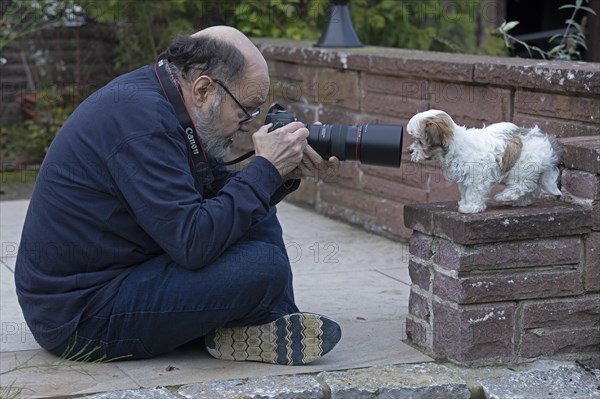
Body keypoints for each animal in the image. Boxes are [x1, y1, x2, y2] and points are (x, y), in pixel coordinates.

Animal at [406, 109, 560, 214]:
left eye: (420, 141)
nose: (410, 151)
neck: (456, 144)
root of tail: (545, 141)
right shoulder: (465, 177)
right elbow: (466, 190)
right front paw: (465, 203)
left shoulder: (477, 175)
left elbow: (474, 191)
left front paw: (471, 207)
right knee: (532, 188)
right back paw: (521, 201)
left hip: (523, 166)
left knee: (522, 185)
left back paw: (504, 196)